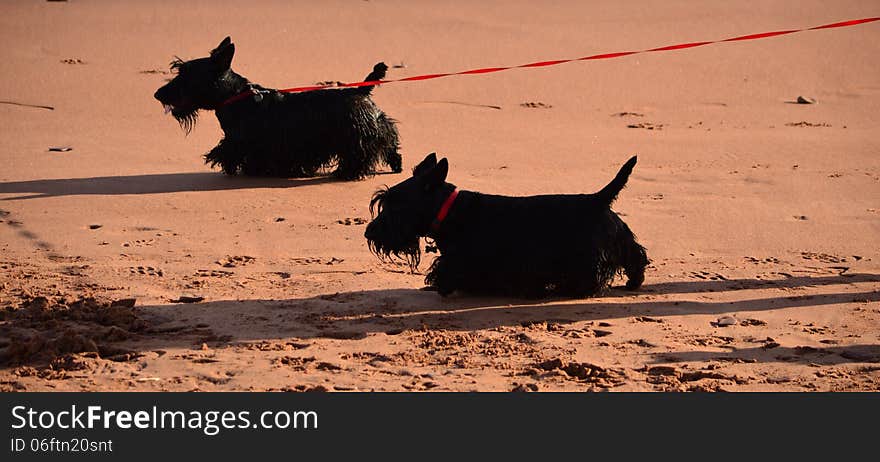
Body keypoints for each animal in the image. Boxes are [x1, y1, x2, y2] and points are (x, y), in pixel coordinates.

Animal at [153, 37, 400, 179]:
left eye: (186, 75)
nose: (157, 95)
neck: (235, 97)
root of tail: (360, 91)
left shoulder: (242, 143)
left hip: (355, 136)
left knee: (358, 155)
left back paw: (347, 173)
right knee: (391, 147)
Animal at [364, 153, 648, 298]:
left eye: (394, 206)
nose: (369, 232)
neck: (451, 211)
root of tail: (598, 199)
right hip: (621, 243)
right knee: (636, 259)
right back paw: (633, 283)